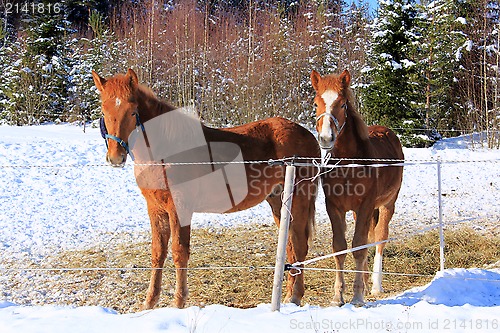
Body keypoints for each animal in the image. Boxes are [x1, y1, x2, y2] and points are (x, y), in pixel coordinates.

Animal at [93, 68, 320, 308]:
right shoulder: (155, 209)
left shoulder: (180, 208)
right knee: (291, 248)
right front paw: (150, 302)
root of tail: (307, 134)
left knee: (299, 245)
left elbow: (179, 252)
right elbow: (158, 253)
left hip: (299, 199)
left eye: (132, 110)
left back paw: (294, 296)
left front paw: (178, 302)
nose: (116, 157)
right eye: (104, 110)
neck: (166, 150)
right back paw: (288, 297)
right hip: (278, 201)